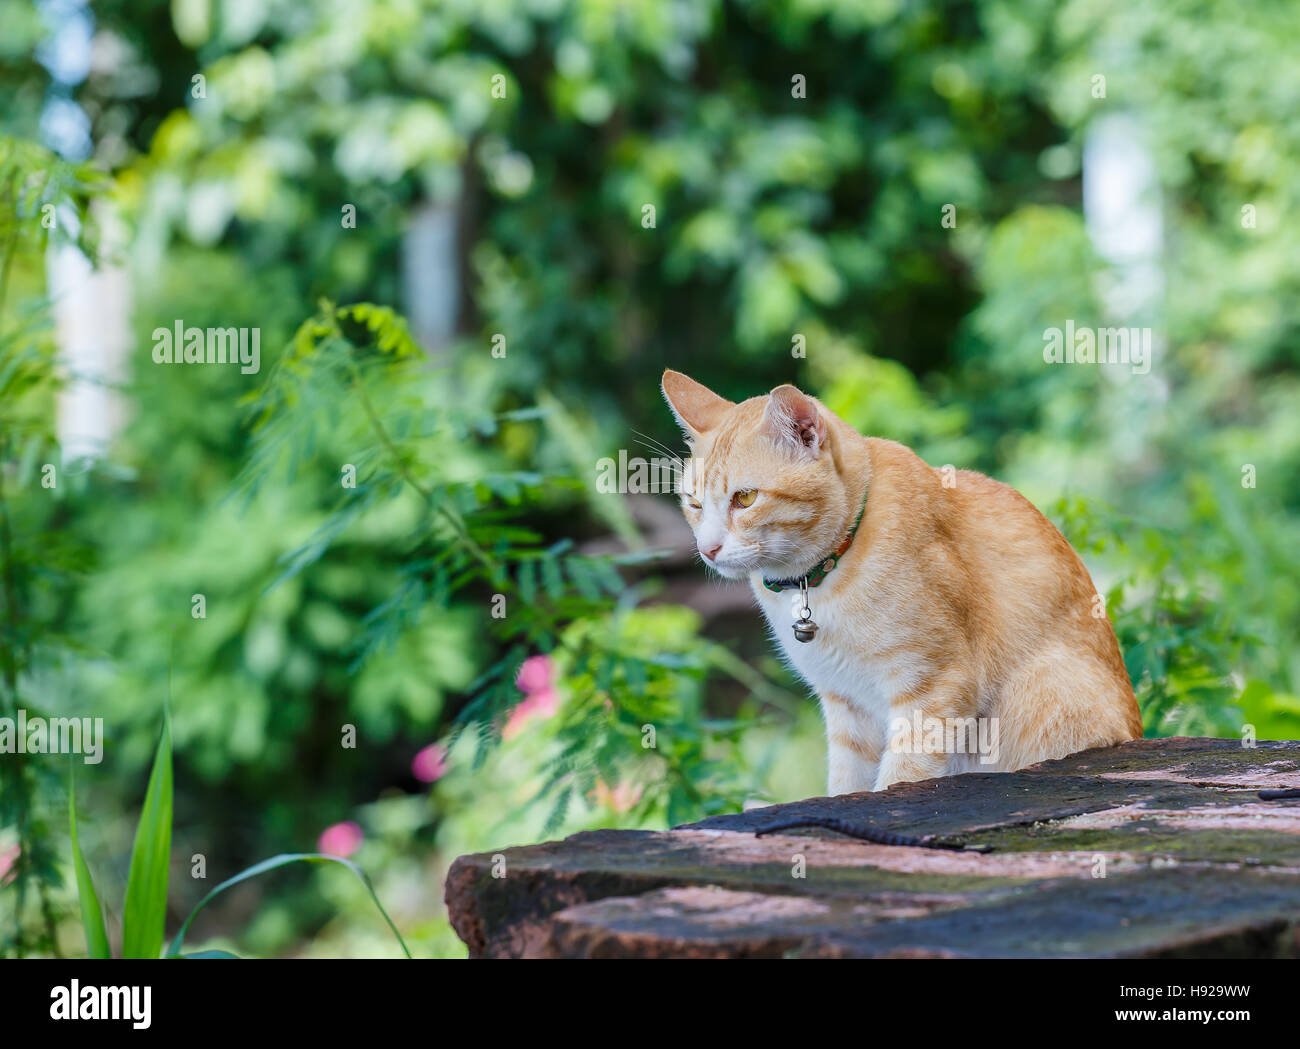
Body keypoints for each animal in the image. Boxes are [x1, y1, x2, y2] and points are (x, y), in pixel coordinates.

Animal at [665, 371, 1144, 795]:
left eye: (745, 499)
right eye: (693, 503)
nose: (707, 548)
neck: (819, 579)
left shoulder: (934, 690)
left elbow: (901, 778)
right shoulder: (848, 706)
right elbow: (847, 785)